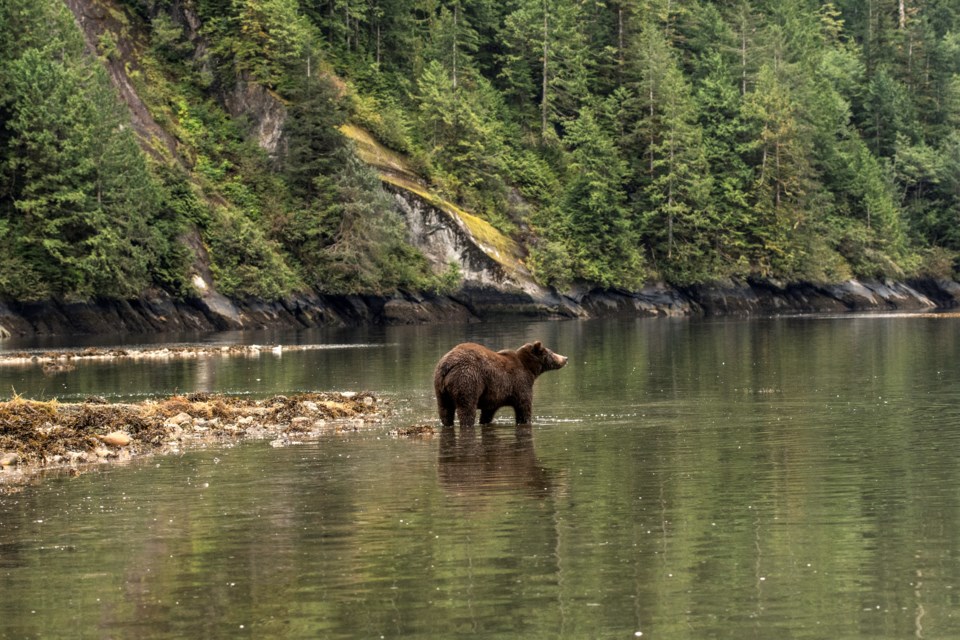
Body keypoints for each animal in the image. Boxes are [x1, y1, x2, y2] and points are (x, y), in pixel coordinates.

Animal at [432, 340, 568, 430]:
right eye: (551, 352)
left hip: (440, 387)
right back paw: (467, 423)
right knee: (466, 407)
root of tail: (448, 364)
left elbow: (488, 412)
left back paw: (447, 423)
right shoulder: (519, 383)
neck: (530, 369)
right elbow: (524, 406)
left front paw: (485, 421)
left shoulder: (494, 395)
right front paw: (526, 421)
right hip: (468, 378)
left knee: (445, 410)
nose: (565, 358)